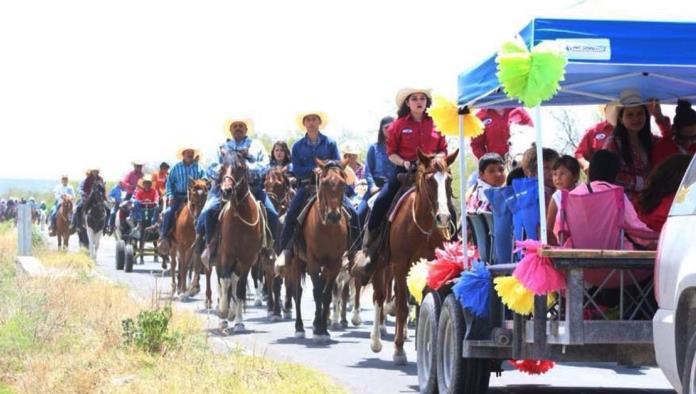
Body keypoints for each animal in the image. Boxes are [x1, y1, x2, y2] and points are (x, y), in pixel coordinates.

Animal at [218, 155, 264, 334]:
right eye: (222, 168)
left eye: (240, 167)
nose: (226, 191)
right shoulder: (226, 254)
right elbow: (225, 282)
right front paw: (223, 314)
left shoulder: (247, 259)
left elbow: (240, 288)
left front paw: (237, 321)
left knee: (237, 282)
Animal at [290, 159, 350, 340]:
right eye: (323, 182)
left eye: (343, 183)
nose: (333, 216)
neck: (328, 229)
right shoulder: (313, 262)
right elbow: (317, 292)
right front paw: (318, 330)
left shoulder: (335, 263)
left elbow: (326, 294)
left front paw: (322, 328)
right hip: (296, 262)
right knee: (297, 292)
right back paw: (299, 327)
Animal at [370, 149, 456, 364]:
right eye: (429, 180)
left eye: (449, 179)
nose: (443, 217)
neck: (421, 227)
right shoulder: (400, 265)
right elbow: (401, 307)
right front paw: (399, 350)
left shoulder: (429, 266)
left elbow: (419, 304)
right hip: (382, 265)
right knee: (379, 297)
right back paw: (376, 340)